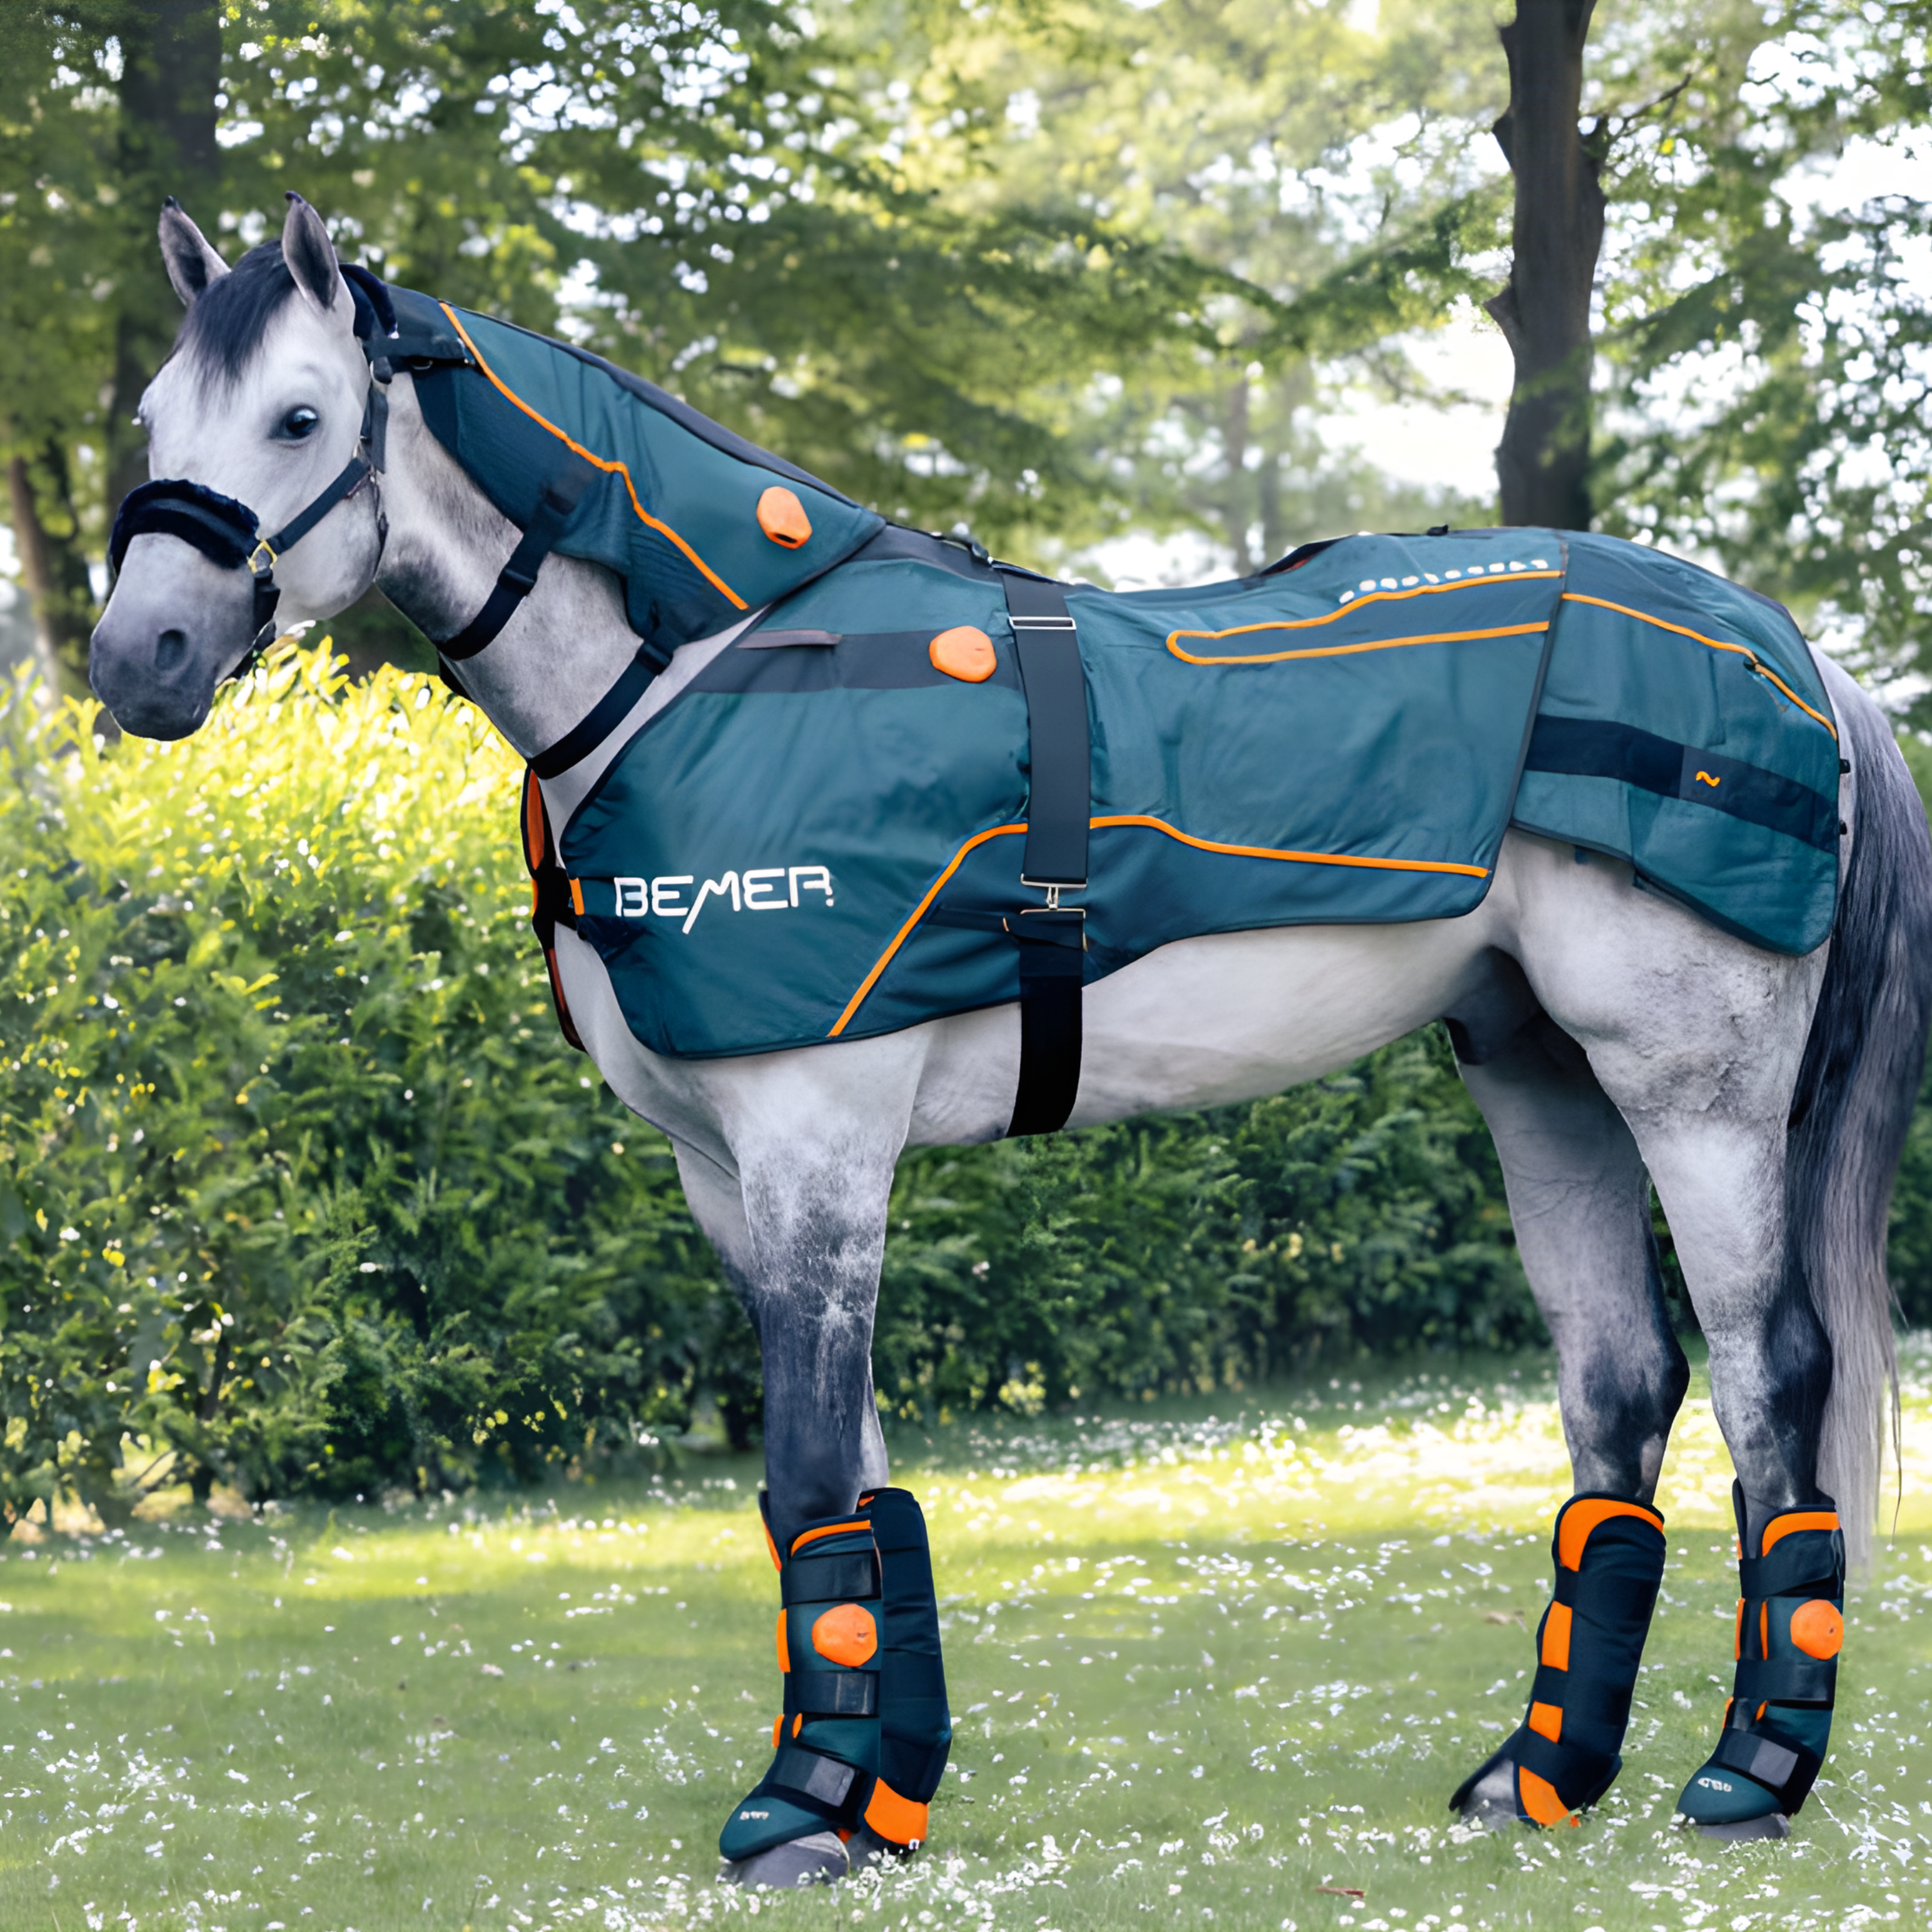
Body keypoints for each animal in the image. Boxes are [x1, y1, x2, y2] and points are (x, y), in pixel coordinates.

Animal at [89, 192, 1932, 1876]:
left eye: (301, 417)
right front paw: (878, 1792)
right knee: (1617, 1386)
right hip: (1538, 1072)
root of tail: (1791, 651)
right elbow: (858, 1492)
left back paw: (1749, 1775)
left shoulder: (817, 1140)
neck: (700, 669)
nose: (138, 658)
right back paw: (1539, 1776)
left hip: (1691, 1092)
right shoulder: (729, 1176)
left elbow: (804, 1474)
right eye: (153, 421)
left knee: (1773, 1379)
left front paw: (799, 1812)